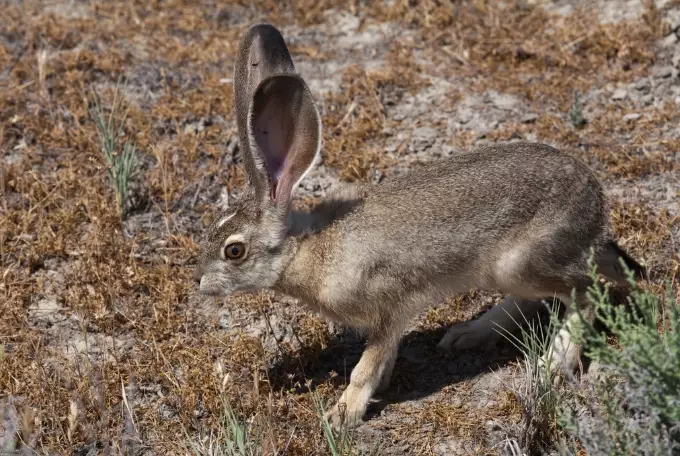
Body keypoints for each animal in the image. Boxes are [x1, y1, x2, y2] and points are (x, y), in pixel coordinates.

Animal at [195, 23, 647, 428]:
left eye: (233, 250)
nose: (201, 285)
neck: (309, 249)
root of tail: (596, 203)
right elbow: (383, 357)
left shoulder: (389, 305)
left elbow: (366, 365)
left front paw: (342, 415)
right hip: (508, 270)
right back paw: (468, 334)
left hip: (524, 261)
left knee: (585, 294)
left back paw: (552, 364)